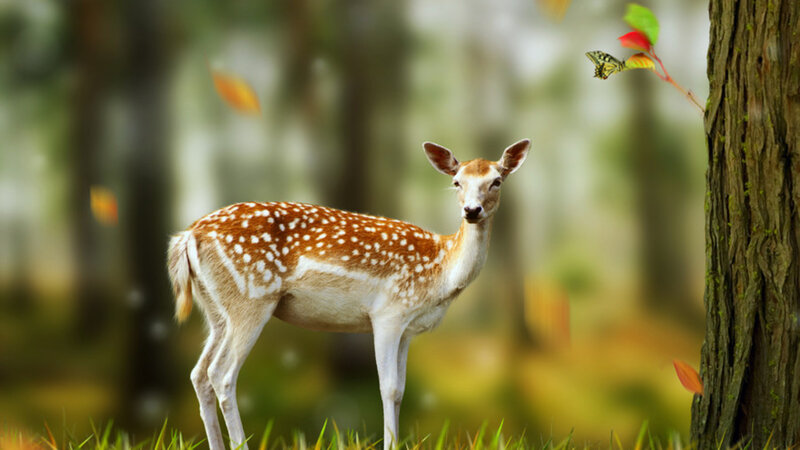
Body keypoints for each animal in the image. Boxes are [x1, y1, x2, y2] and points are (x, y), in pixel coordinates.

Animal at [166, 139, 530, 450]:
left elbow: (401, 391)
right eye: (456, 181)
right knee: (222, 375)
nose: (472, 210)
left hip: (216, 309)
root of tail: (188, 236)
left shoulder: (408, 329)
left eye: (497, 181)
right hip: (251, 299)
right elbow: (389, 388)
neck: (441, 271)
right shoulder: (388, 313)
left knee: (199, 373)